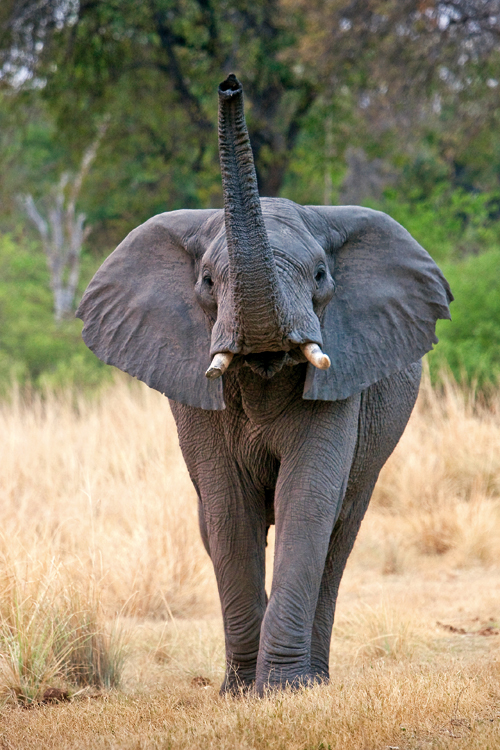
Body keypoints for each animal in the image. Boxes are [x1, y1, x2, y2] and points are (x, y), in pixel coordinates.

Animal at [77, 73, 454, 696]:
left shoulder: (344, 383)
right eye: (208, 282)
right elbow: (229, 512)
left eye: (321, 275)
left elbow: (308, 501)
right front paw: (241, 694)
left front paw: (282, 691)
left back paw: (316, 680)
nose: (230, 84)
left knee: (340, 533)